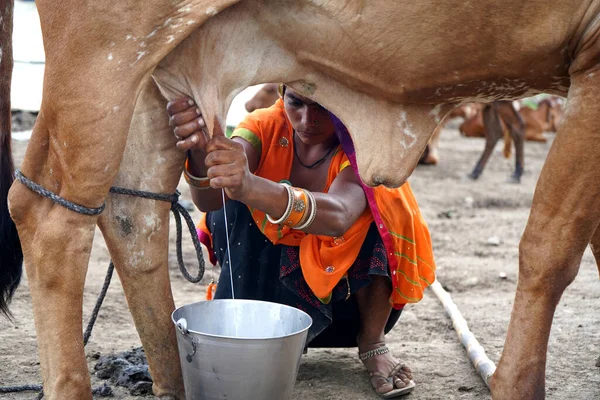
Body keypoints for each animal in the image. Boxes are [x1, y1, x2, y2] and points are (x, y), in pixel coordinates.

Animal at [1, 0, 600, 400]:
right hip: (106, 54)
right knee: (47, 215)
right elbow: (551, 251)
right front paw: (517, 385)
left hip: (153, 65)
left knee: (135, 216)